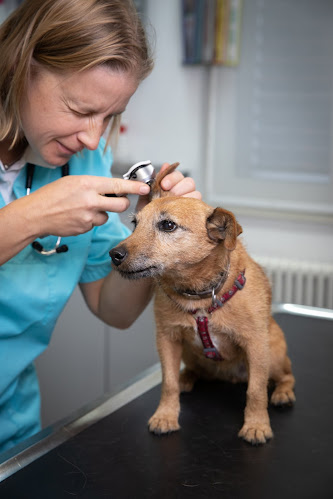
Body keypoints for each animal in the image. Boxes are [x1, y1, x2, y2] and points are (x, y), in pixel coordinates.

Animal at [110, 163, 294, 446]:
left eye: (168, 225)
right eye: (134, 223)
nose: (114, 255)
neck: (200, 297)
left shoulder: (255, 346)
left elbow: (256, 391)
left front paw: (256, 425)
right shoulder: (168, 339)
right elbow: (168, 383)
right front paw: (166, 416)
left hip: (272, 355)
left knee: (286, 376)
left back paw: (283, 393)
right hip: (187, 351)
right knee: (191, 371)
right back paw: (186, 377)